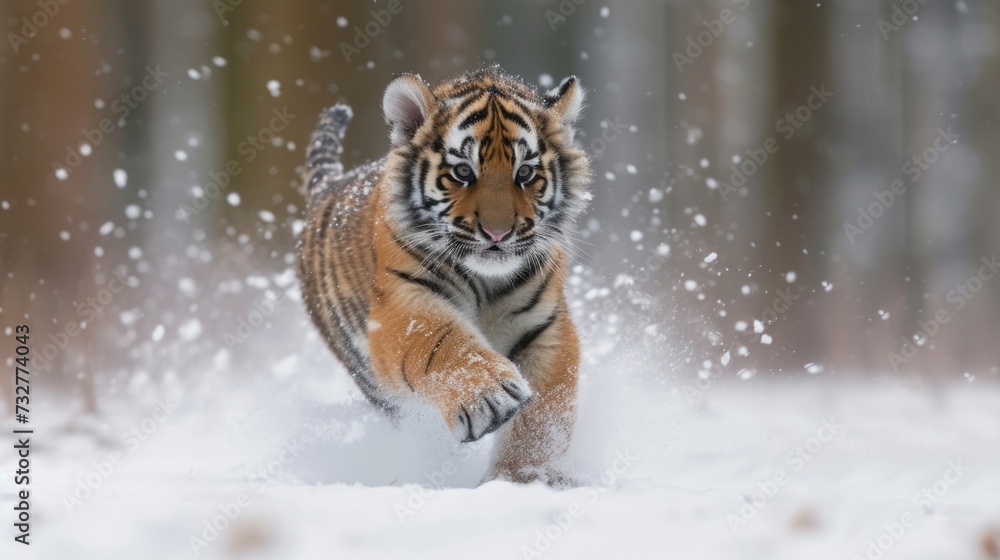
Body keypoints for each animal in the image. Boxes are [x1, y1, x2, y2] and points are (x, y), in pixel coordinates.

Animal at [295, 65, 591, 484]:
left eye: (525, 172)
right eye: (463, 171)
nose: (498, 233)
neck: (486, 282)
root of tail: (326, 188)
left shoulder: (545, 327)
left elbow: (544, 415)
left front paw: (523, 477)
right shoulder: (401, 305)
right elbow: (443, 343)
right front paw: (490, 399)